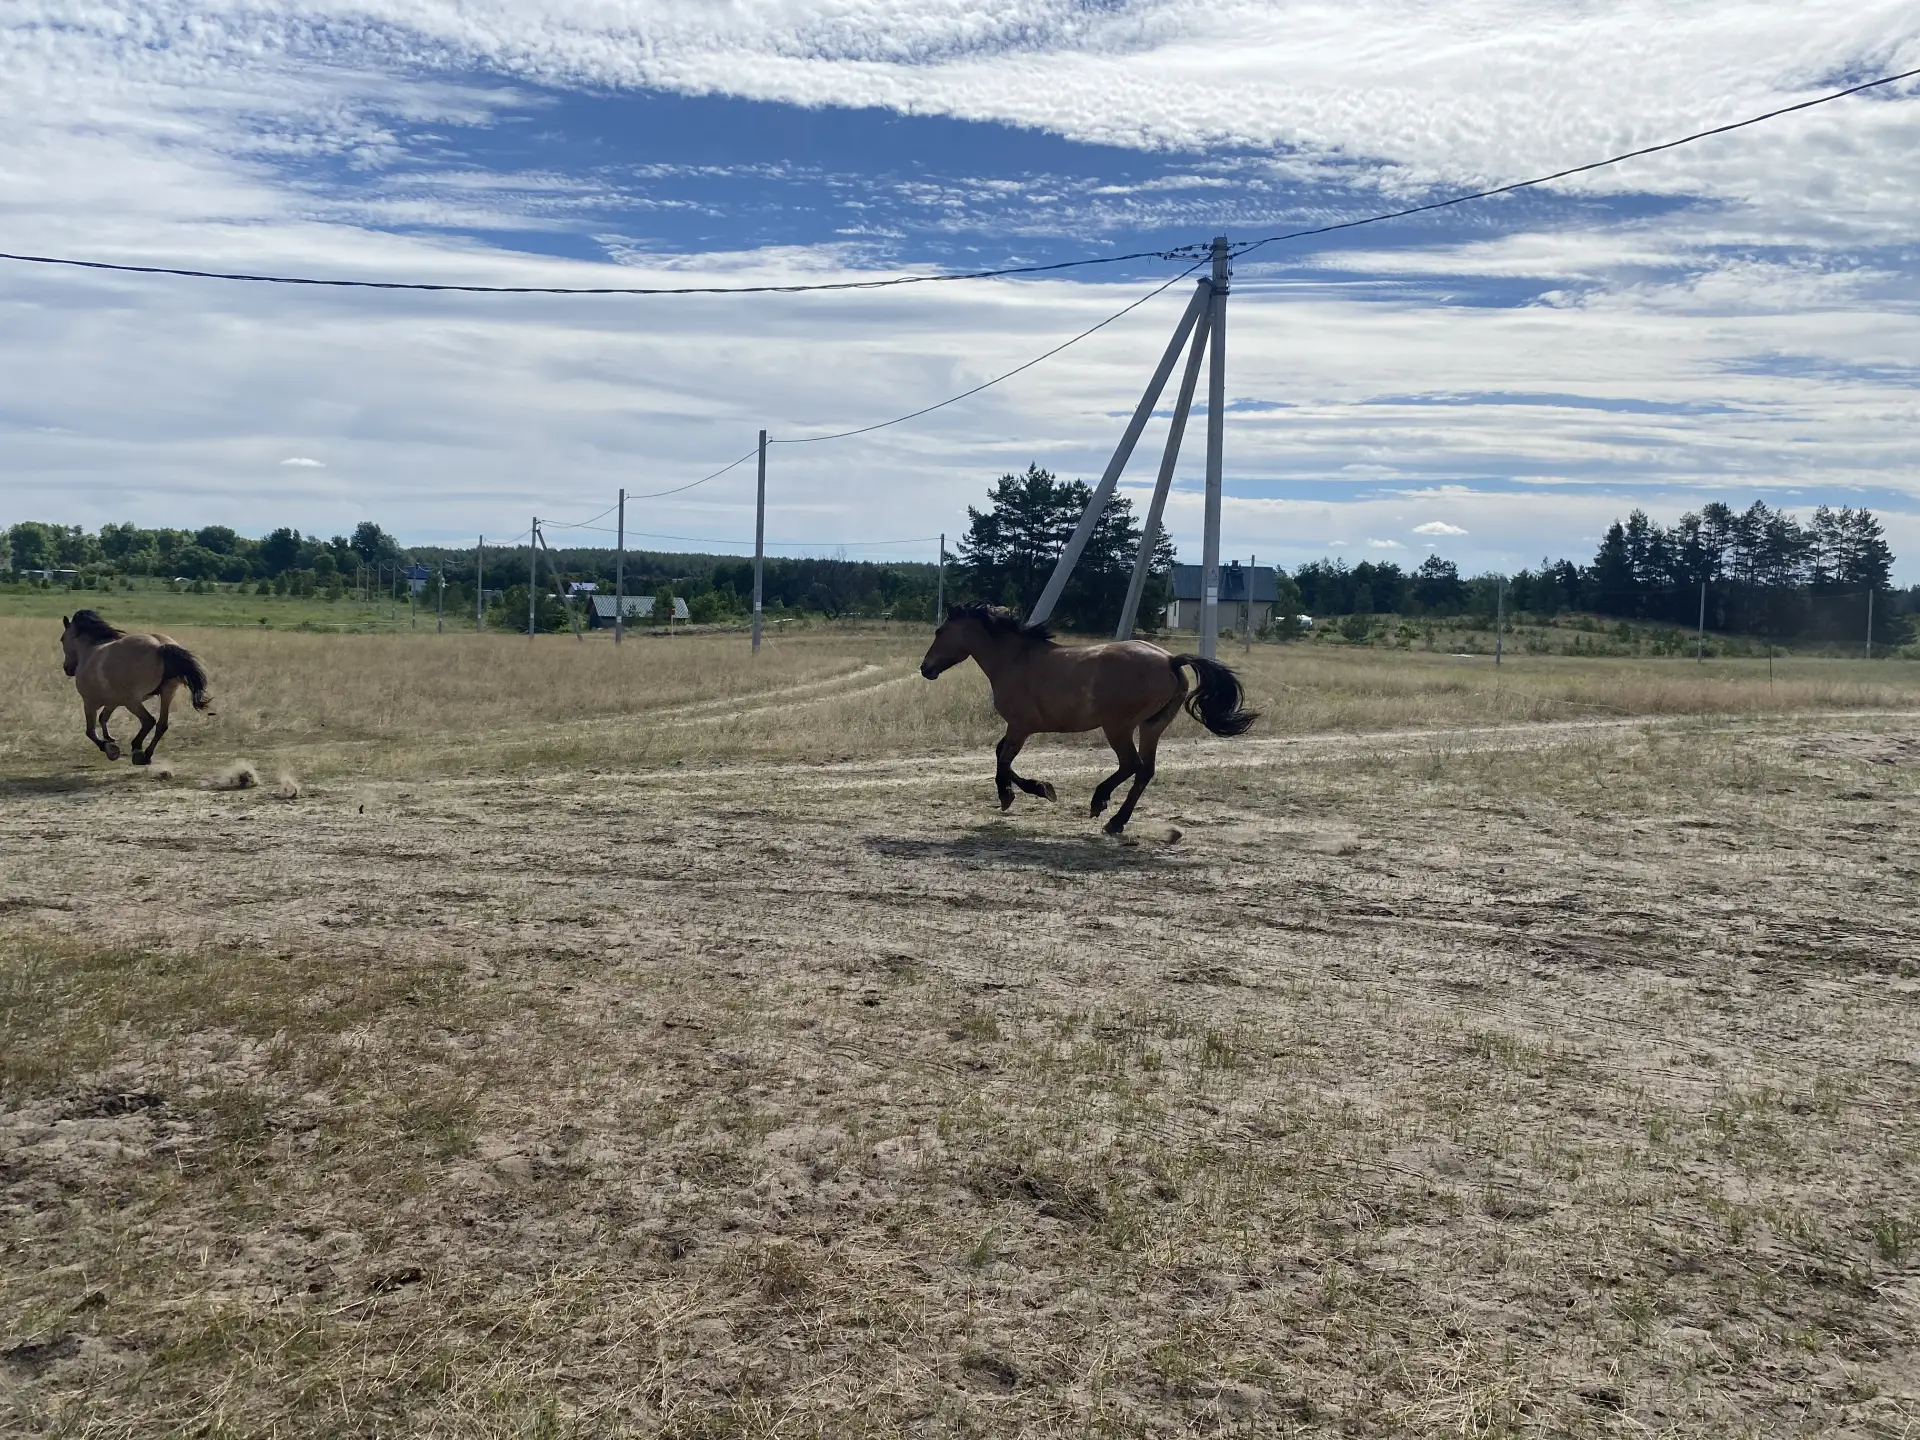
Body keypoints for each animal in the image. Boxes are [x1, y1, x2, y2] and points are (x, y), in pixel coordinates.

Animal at [60, 610, 213, 765]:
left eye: (62, 639)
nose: (67, 669)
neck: (89, 652)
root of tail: (160, 646)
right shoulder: (112, 702)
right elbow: (103, 718)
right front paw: (110, 739)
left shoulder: (89, 702)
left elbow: (90, 731)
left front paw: (110, 749)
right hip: (167, 693)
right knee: (162, 724)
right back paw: (147, 755)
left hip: (132, 701)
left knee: (148, 721)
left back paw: (137, 751)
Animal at [919, 602, 1257, 834]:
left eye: (940, 632)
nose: (926, 668)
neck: (1014, 661)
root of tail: (1170, 660)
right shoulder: (1017, 727)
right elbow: (1000, 755)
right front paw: (1035, 789)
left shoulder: (1020, 726)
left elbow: (1004, 760)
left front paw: (1024, 792)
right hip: (1151, 726)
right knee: (1145, 771)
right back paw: (1116, 822)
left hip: (1118, 726)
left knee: (1131, 765)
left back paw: (1100, 804)